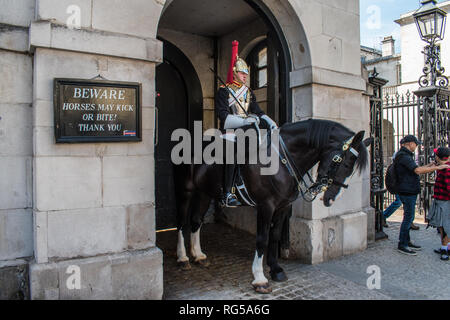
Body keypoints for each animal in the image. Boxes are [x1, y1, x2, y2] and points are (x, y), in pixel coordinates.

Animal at [172, 119, 370, 292]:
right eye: (341, 161)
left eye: (352, 168)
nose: (331, 199)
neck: (281, 160)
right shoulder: (265, 206)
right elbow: (262, 239)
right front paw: (259, 278)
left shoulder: (283, 207)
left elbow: (274, 236)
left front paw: (276, 269)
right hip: (185, 191)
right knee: (182, 223)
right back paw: (182, 258)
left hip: (204, 193)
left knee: (196, 221)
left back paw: (198, 255)